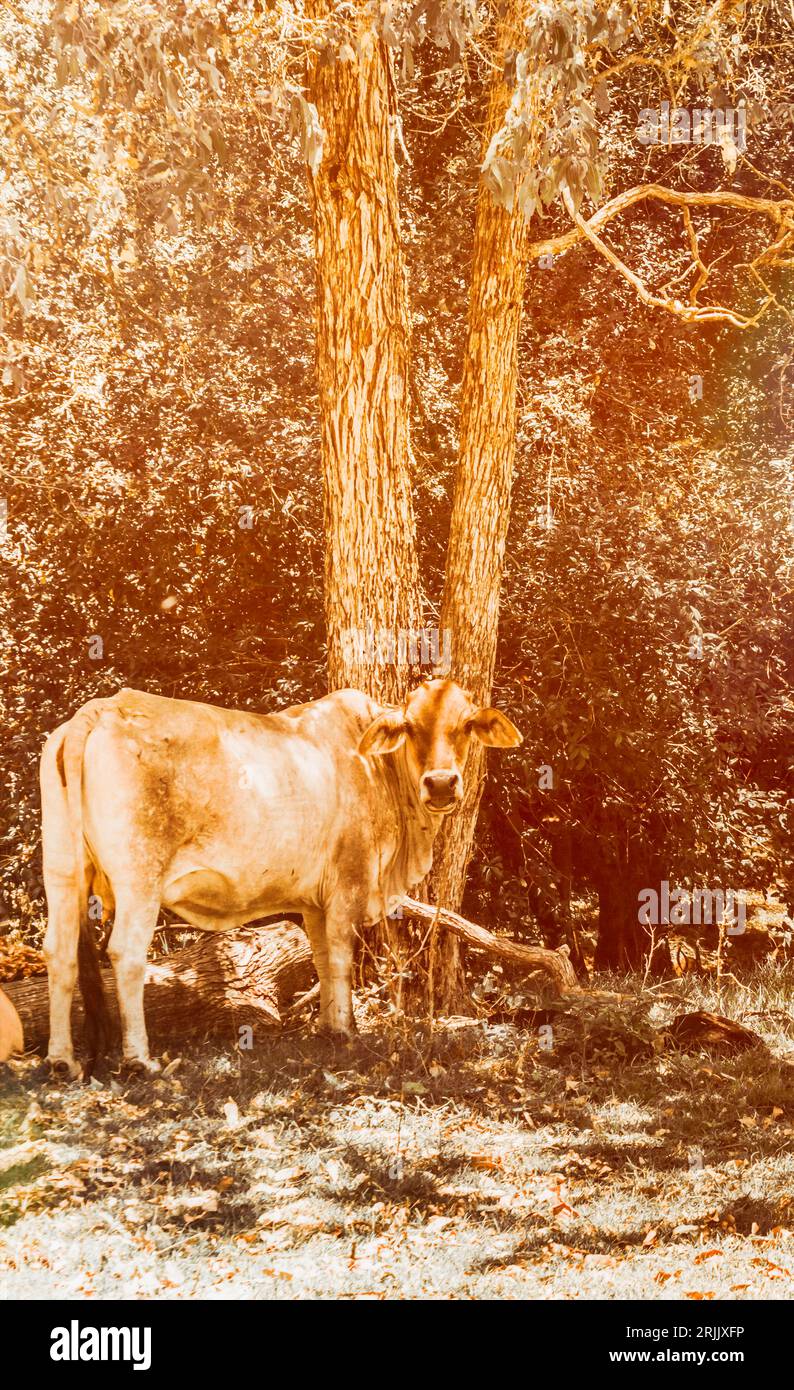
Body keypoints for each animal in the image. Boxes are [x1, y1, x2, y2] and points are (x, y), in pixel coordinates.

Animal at [40, 678, 522, 1077]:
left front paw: (328, 1025)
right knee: (125, 954)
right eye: (410, 726)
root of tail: (102, 709)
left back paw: (62, 1060)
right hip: (140, 879)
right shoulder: (347, 883)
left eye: (465, 725)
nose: (440, 784)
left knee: (58, 953)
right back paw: (140, 1059)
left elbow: (323, 960)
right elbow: (341, 957)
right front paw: (346, 1031)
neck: (377, 770)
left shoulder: (314, 902)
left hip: (62, 871)